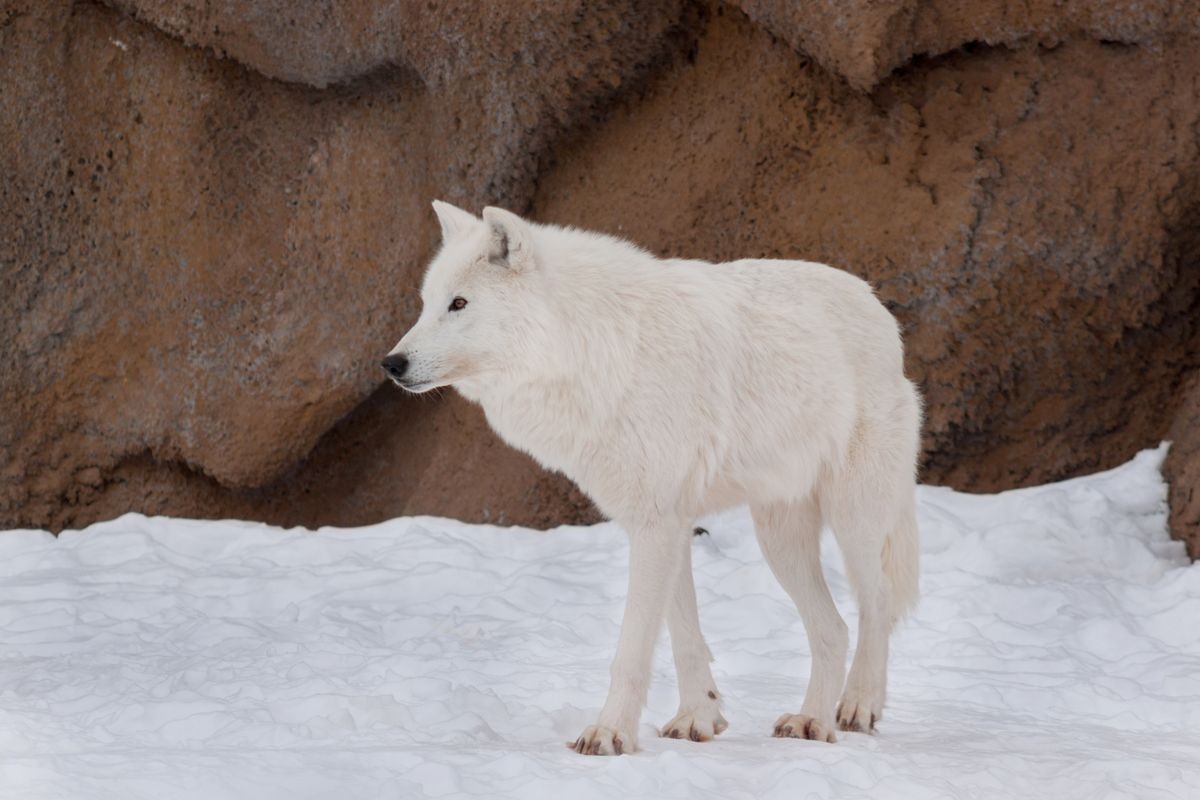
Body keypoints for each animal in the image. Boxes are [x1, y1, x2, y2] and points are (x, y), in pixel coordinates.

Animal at [384, 201, 916, 758]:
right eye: (426, 304)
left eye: (459, 303)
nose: (391, 363)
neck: (594, 349)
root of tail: (876, 304)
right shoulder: (669, 523)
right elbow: (684, 638)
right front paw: (697, 718)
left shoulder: (656, 525)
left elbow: (633, 650)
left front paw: (610, 733)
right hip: (779, 540)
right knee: (832, 627)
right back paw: (810, 719)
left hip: (853, 518)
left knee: (877, 604)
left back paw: (855, 708)